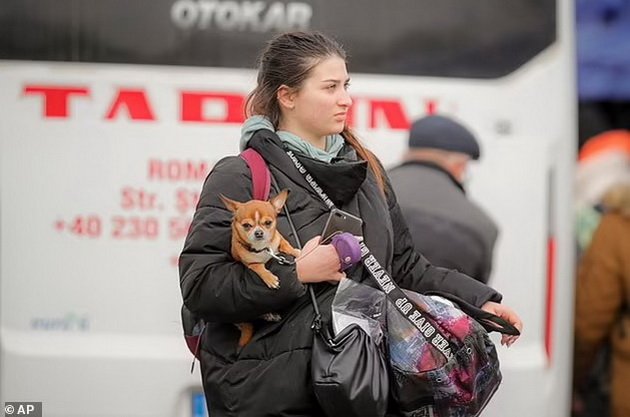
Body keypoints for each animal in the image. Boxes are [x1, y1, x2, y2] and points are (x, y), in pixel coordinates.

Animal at [221, 188, 302, 344]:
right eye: (247, 225)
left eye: (268, 223)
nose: (258, 232)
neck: (262, 249)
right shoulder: (251, 264)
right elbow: (260, 268)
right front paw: (270, 279)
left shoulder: (278, 240)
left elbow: (287, 246)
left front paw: (297, 252)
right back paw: (268, 315)